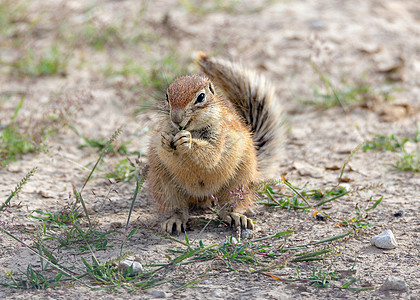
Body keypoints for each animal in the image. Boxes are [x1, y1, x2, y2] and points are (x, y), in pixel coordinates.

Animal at [146, 52, 284, 234]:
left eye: (201, 97)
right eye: (167, 96)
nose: (176, 119)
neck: (193, 130)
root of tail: (203, 196)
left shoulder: (219, 134)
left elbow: (211, 155)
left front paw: (188, 141)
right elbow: (161, 149)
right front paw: (165, 139)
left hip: (238, 182)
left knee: (228, 207)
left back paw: (236, 217)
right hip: (164, 184)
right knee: (178, 208)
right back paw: (175, 220)